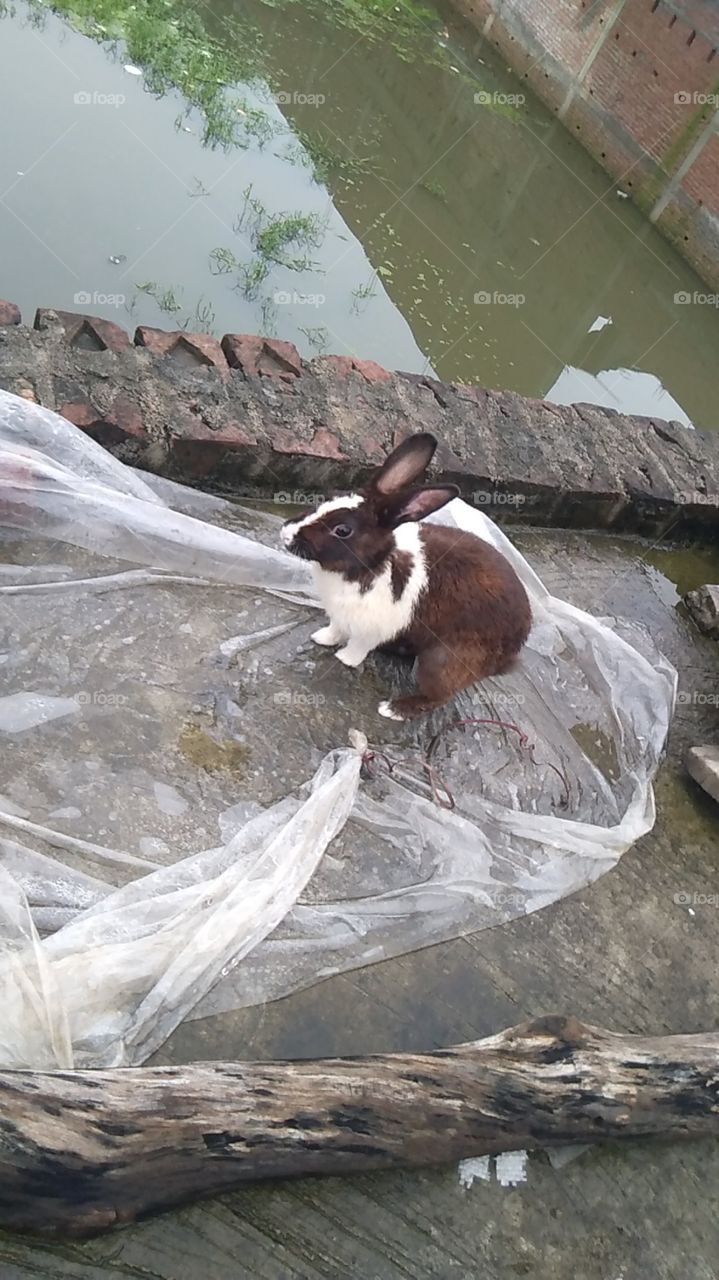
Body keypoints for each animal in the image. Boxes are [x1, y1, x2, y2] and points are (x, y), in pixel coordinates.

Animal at [280, 432, 531, 720]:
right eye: (327, 498)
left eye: (342, 530)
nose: (285, 534)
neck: (371, 564)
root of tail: (511, 654)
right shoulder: (341, 616)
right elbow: (335, 629)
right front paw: (321, 638)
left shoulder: (373, 625)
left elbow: (358, 645)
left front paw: (344, 659)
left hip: (441, 660)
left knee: (439, 696)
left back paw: (394, 708)